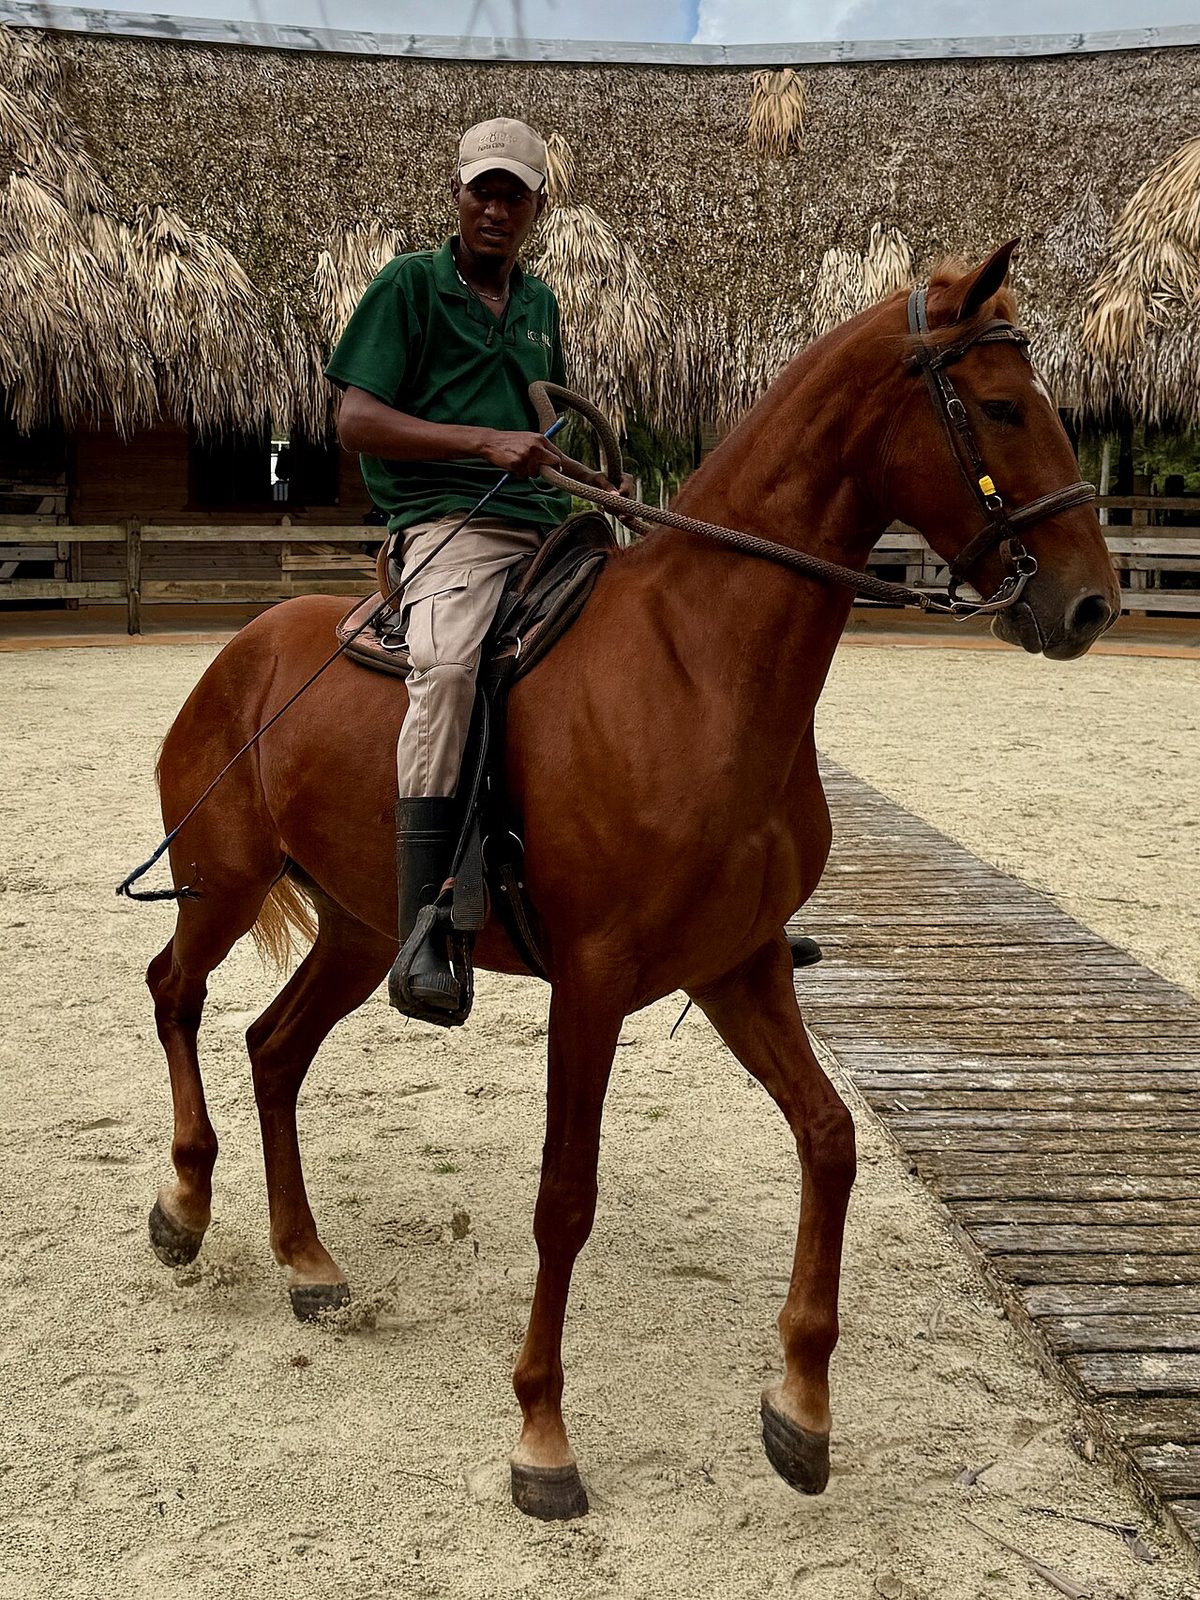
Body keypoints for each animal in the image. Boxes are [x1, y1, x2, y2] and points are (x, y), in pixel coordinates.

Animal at [143, 243, 1120, 1521]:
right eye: (1000, 406)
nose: (1092, 602)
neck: (700, 664)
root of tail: (242, 651)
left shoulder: (738, 966)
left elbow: (829, 1140)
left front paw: (800, 1408)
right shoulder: (595, 984)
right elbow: (566, 1197)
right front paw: (542, 1435)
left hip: (360, 929)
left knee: (273, 1049)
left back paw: (307, 1260)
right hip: (220, 883)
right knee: (175, 993)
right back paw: (182, 1208)